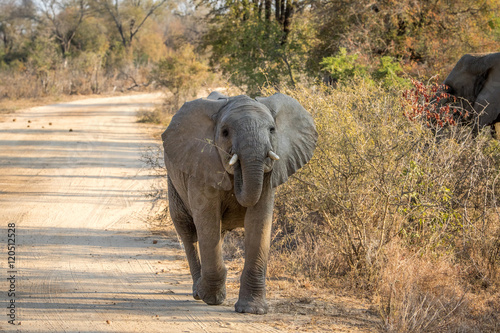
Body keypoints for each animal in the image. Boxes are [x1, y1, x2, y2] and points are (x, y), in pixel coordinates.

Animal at [160, 89, 316, 312]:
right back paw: (199, 291)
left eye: (272, 130)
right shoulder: (202, 163)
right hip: (173, 182)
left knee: (217, 233)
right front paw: (211, 297)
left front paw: (252, 310)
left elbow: (259, 220)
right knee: (188, 231)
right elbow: (207, 219)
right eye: (225, 132)